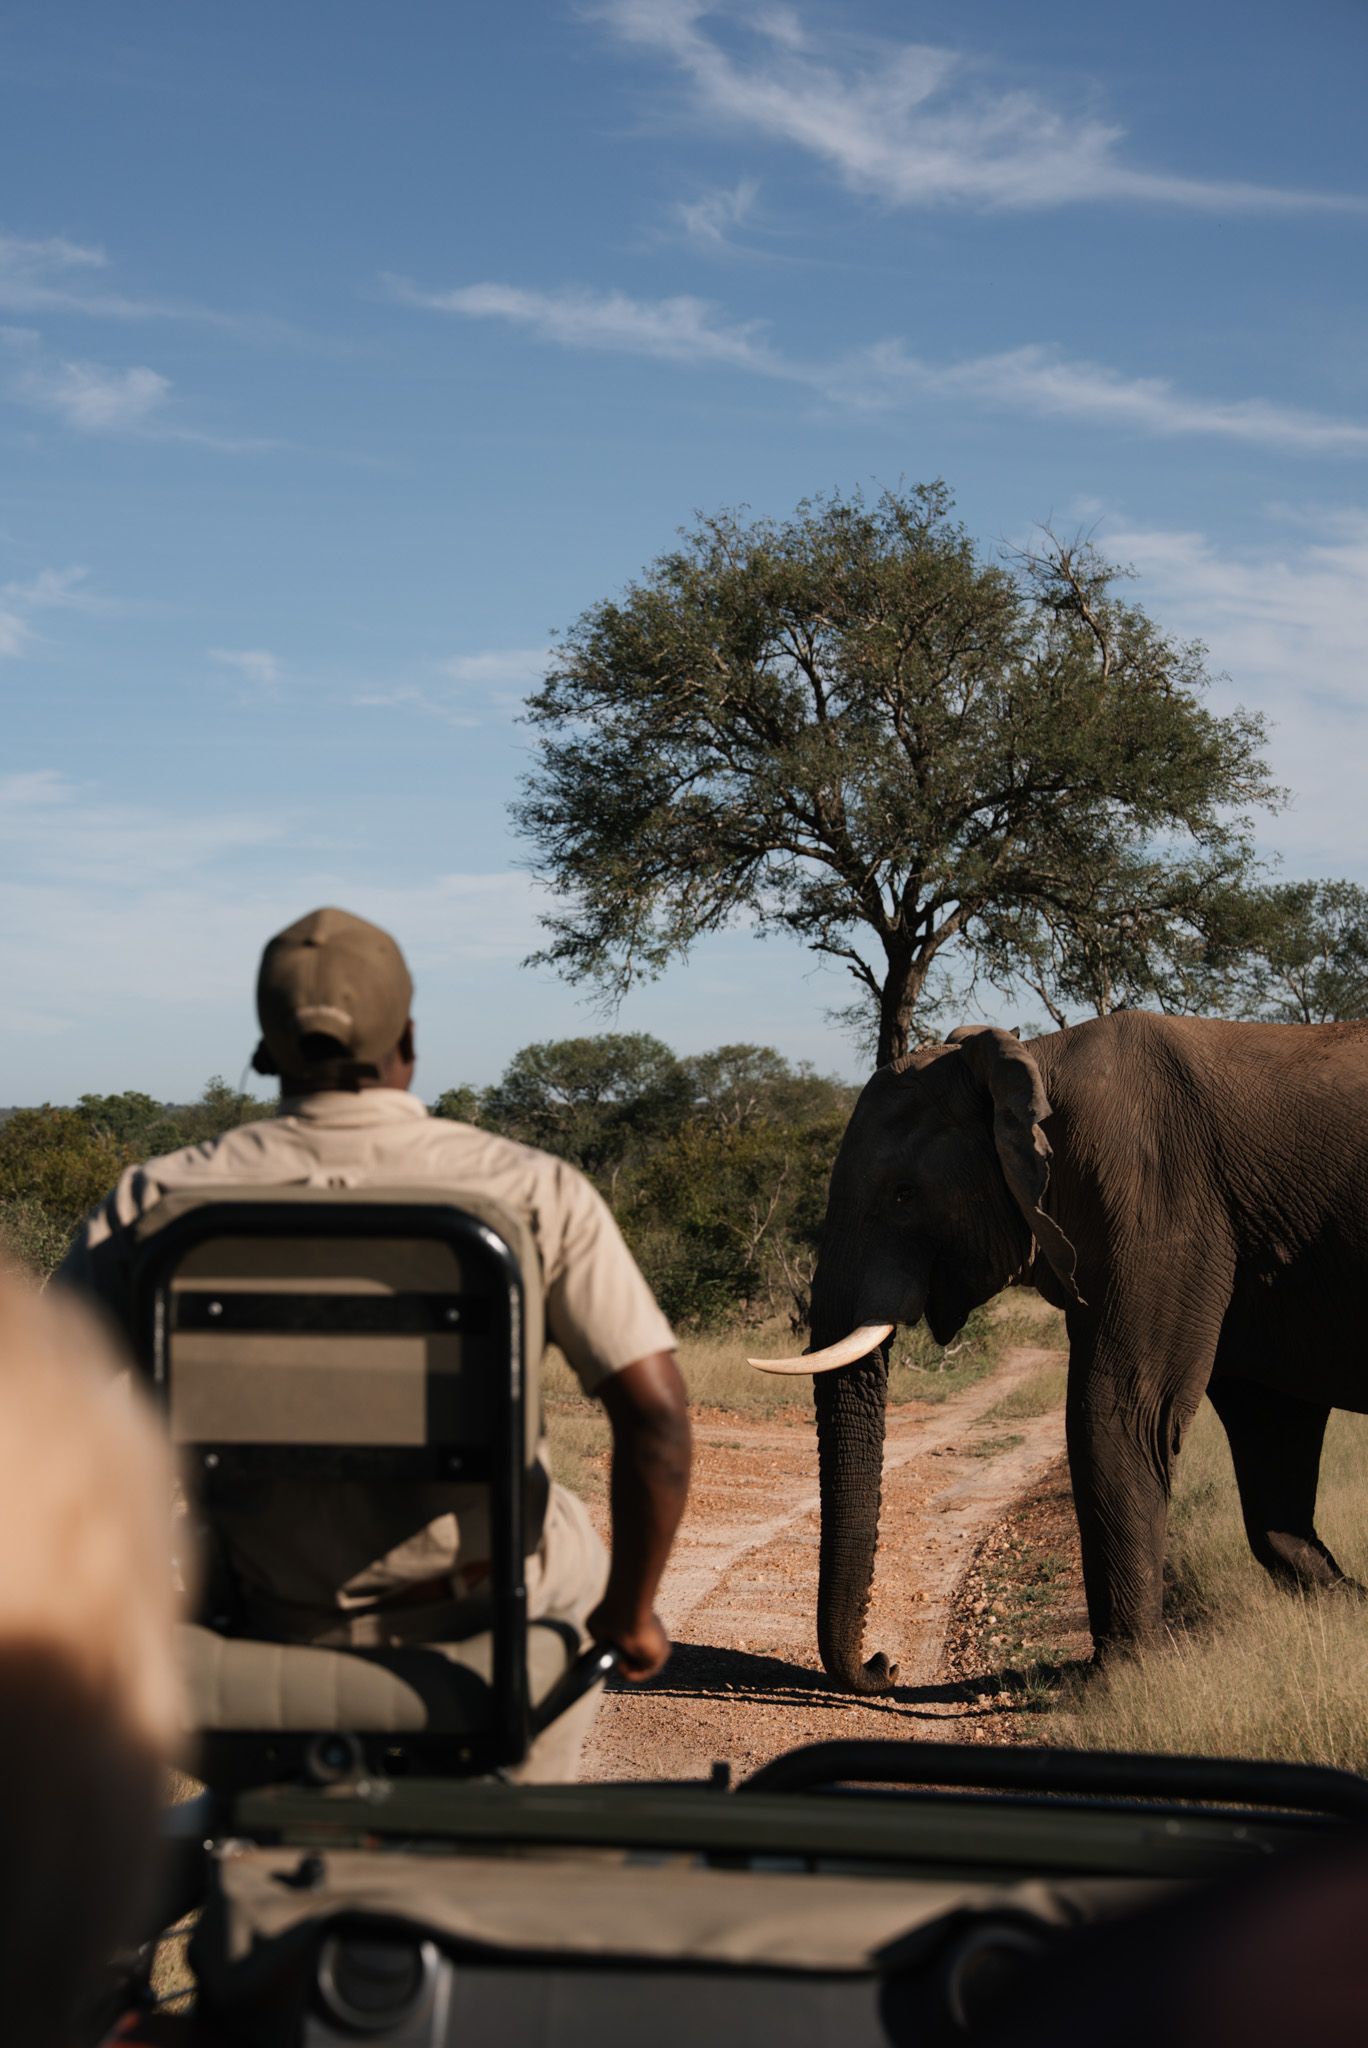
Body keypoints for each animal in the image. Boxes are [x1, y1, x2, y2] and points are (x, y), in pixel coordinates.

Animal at [750, 1011, 1368, 1692]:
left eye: (905, 1195)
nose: (884, 1663)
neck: (1034, 1065)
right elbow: (1271, 1424)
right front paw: (1351, 1606)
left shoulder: (1154, 1204)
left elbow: (1119, 1412)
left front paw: (1120, 1679)